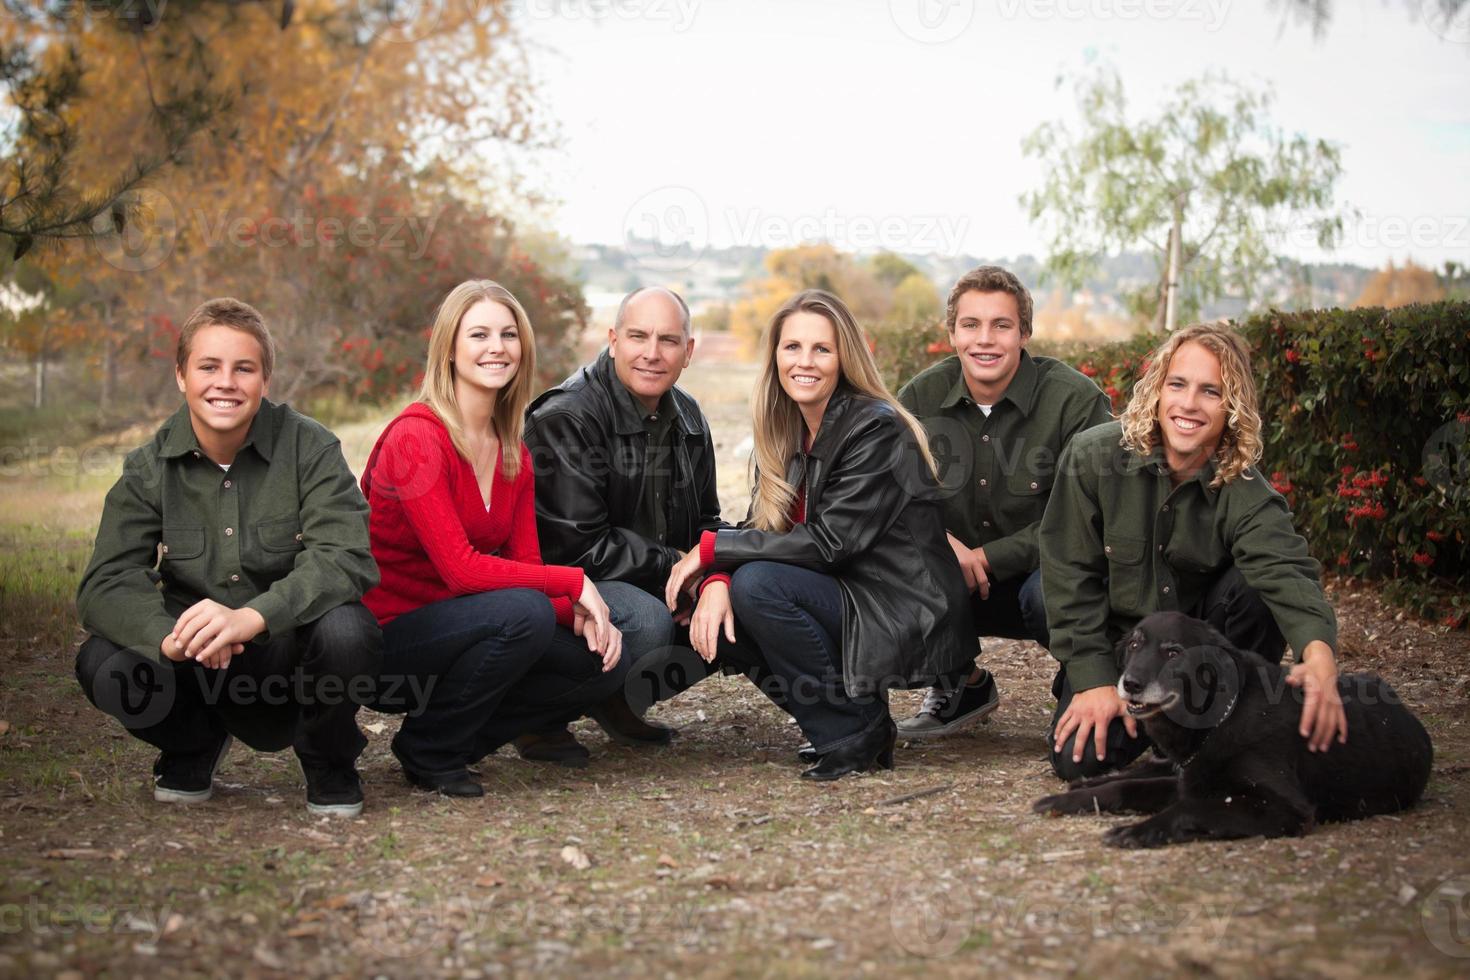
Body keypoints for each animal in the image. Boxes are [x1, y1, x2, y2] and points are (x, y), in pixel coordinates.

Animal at [1034, 614, 1434, 852]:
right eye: (1134, 644)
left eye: (1173, 652)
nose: (1129, 684)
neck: (1224, 716)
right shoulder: (1192, 778)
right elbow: (1127, 788)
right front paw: (1068, 801)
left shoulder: (1284, 808)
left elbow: (1189, 806)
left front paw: (1139, 830)